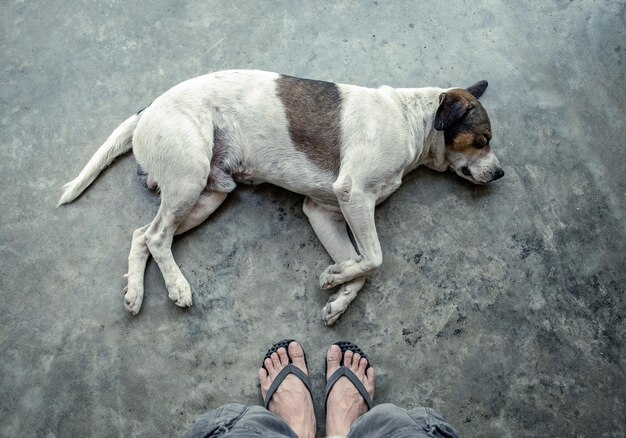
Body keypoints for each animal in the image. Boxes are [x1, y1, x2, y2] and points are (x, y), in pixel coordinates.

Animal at [58, 69, 502, 326]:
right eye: (483, 139)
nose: (500, 173)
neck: (413, 119)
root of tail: (148, 108)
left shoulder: (324, 210)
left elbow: (361, 266)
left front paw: (339, 295)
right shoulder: (353, 194)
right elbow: (375, 258)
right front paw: (335, 278)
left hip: (209, 194)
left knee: (142, 235)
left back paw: (135, 293)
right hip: (188, 179)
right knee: (155, 236)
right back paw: (177, 288)